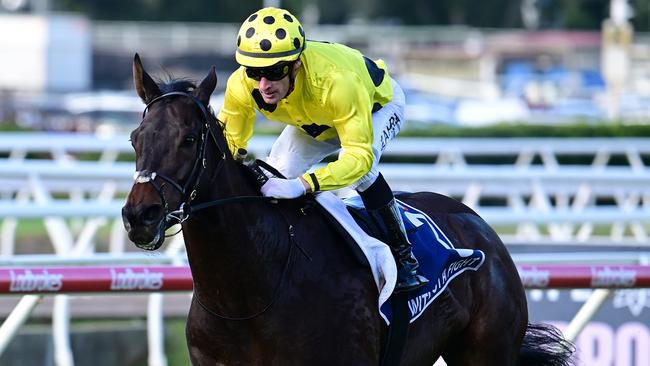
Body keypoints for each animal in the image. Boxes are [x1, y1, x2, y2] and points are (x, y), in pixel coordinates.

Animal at [121, 55, 572, 366]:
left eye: (188, 139)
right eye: (135, 137)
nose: (140, 216)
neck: (248, 295)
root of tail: (480, 227)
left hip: (486, 351)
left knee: (366, 166)